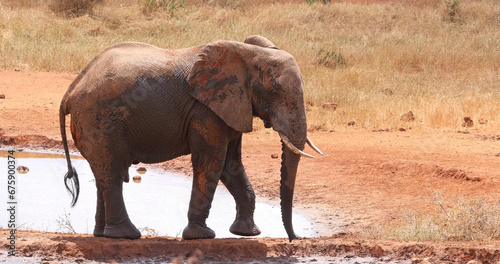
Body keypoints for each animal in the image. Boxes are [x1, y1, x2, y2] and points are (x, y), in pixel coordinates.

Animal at [59, 34, 324, 241]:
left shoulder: (232, 107)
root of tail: (71, 89)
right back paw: (127, 235)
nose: (294, 238)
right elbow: (211, 162)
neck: (248, 54)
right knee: (112, 172)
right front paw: (201, 236)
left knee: (103, 174)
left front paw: (247, 233)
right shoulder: (206, 111)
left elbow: (231, 166)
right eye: (275, 92)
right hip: (100, 120)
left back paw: (102, 234)